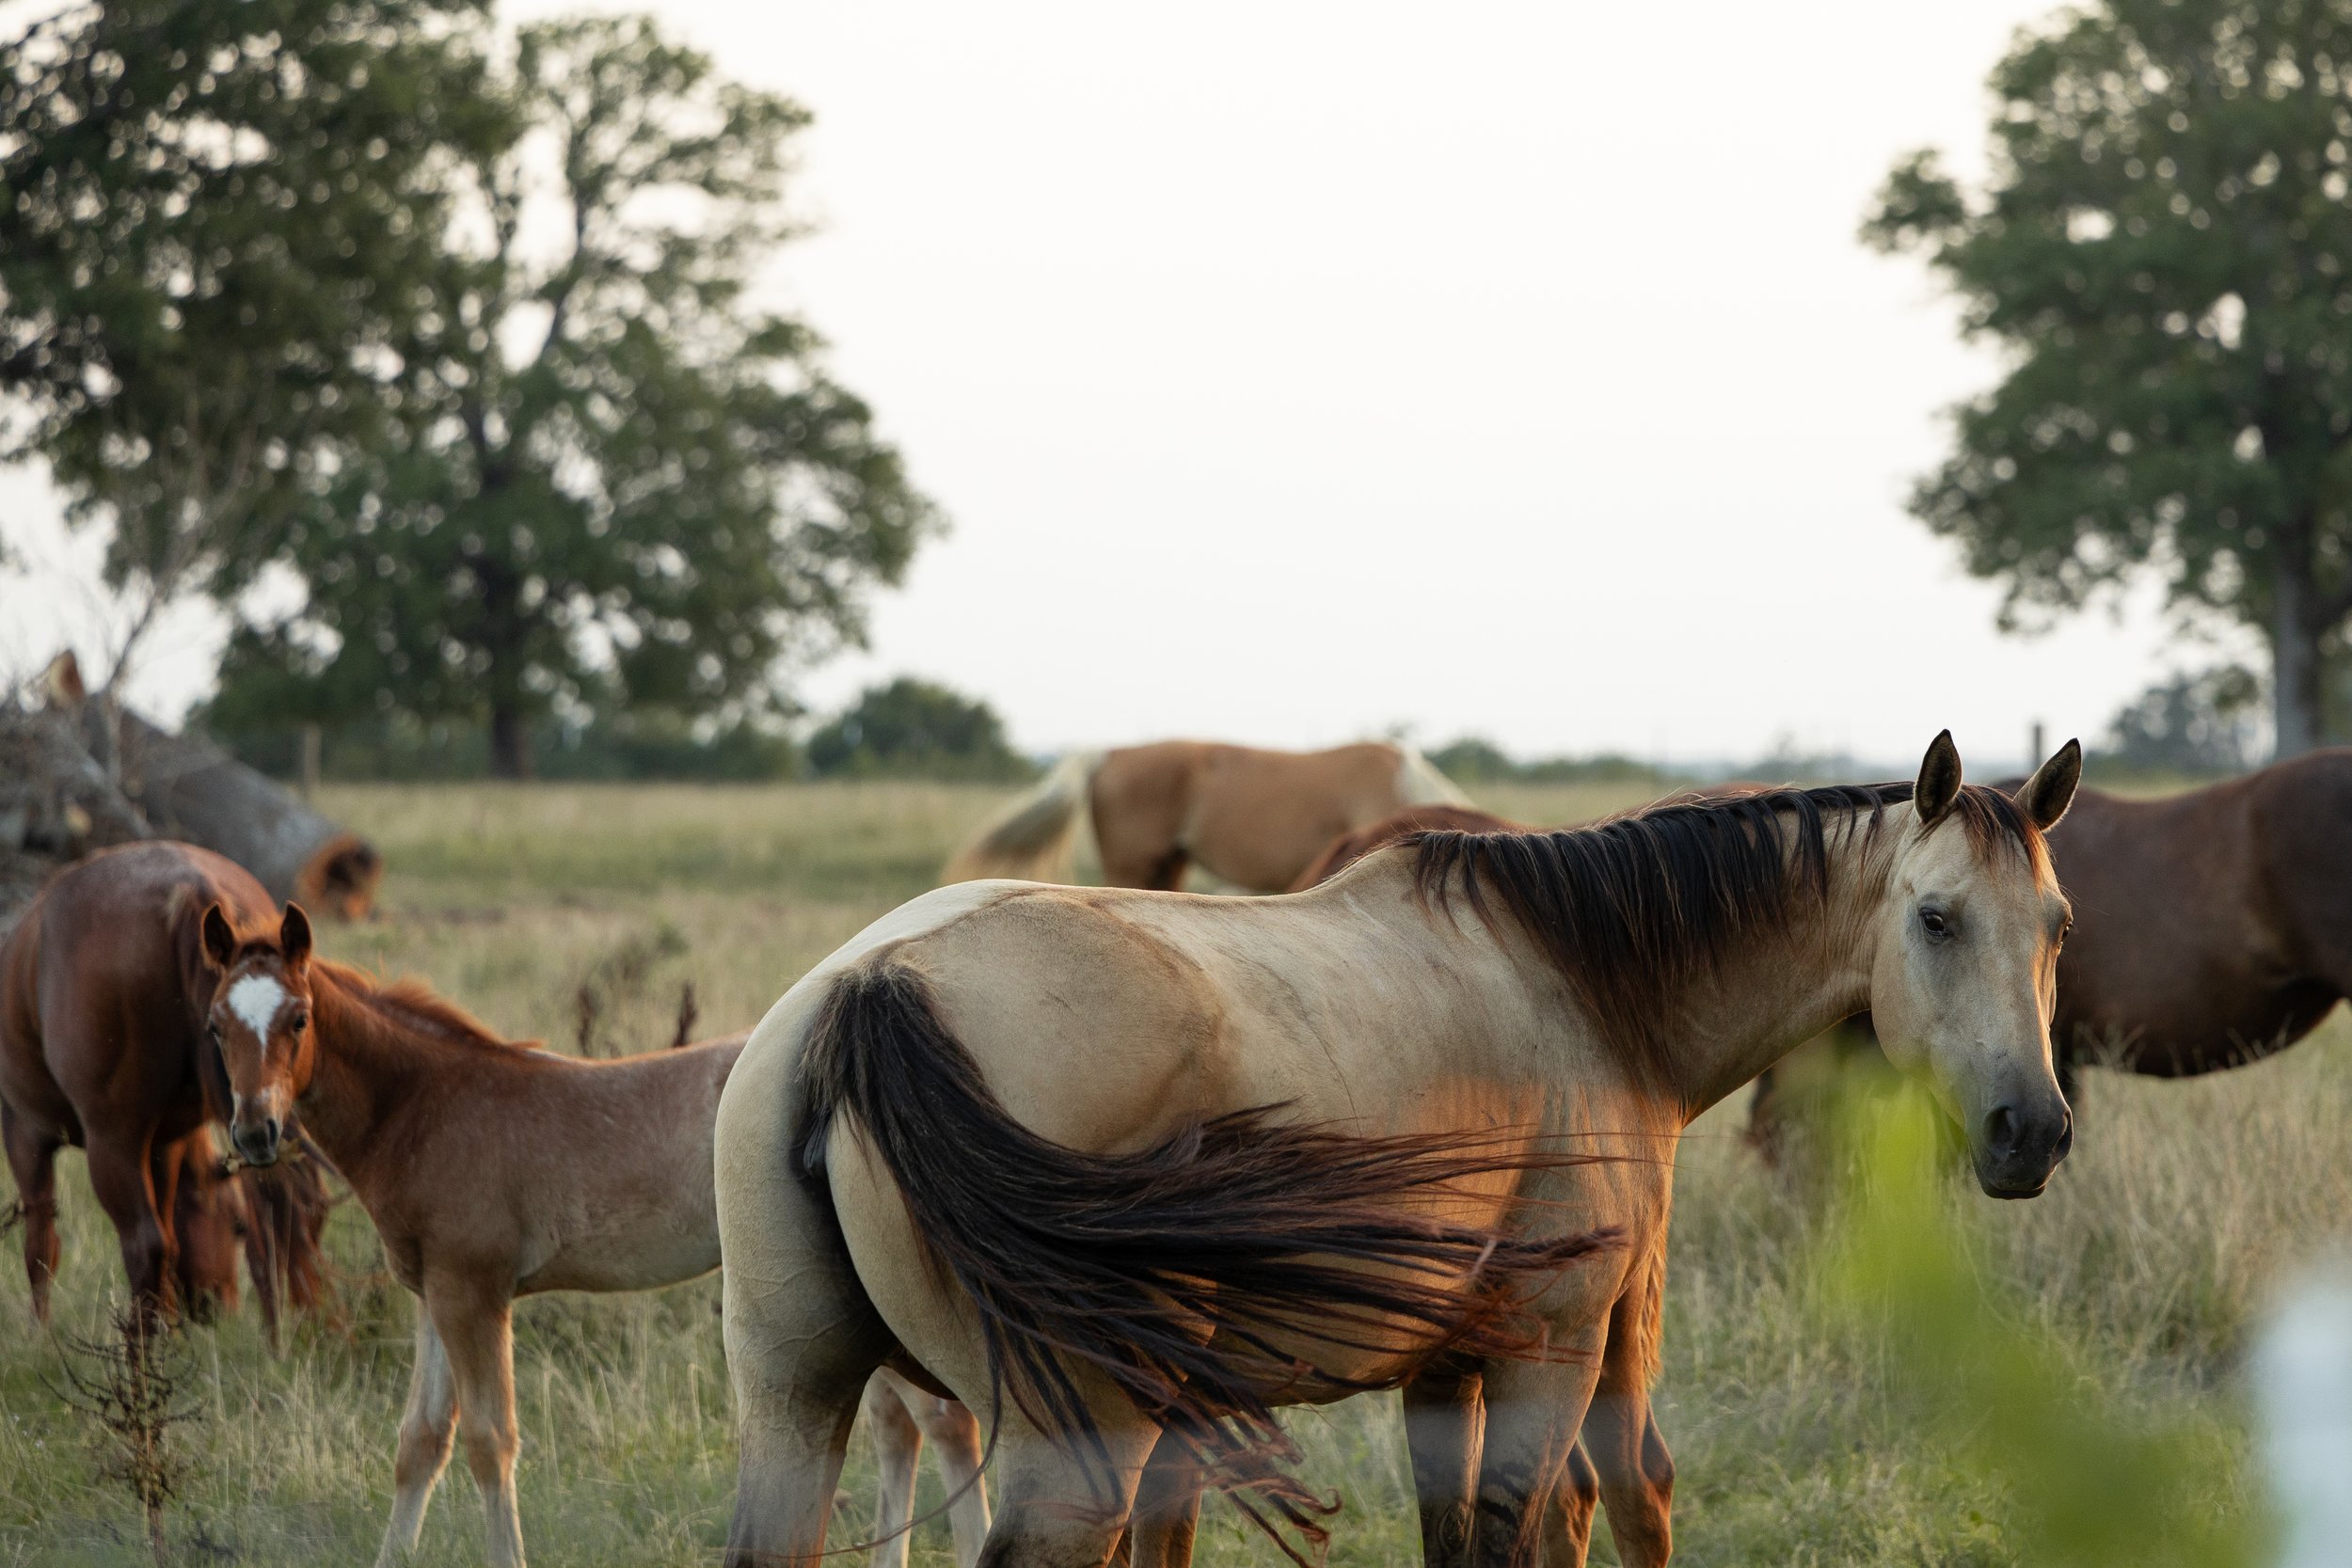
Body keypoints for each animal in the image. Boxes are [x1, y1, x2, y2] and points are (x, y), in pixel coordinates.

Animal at [0, 840, 328, 1329]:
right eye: (232, 1225)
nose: (221, 1310)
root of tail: (193, 888)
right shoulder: (165, 1144)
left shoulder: (26, 1134)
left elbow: (42, 1248)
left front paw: (42, 1335)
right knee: (279, 1217)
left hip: (111, 1141)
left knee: (145, 1246)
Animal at [191, 905, 991, 1568]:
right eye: (214, 1026)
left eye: (298, 1018)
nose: (256, 1133)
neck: (428, 1107)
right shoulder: (433, 1293)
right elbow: (421, 1440)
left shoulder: (475, 1292)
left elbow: (491, 1441)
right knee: (900, 1424)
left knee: (947, 1419)